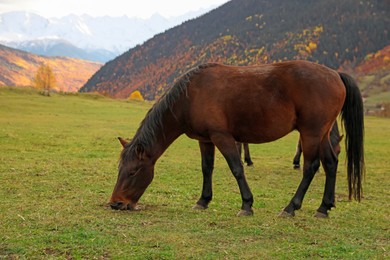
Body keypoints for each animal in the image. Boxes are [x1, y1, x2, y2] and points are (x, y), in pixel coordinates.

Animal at [110, 60, 366, 217]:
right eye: (120, 169)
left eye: (133, 171)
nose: (116, 203)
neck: (191, 95)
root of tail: (335, 74)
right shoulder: (206, 140)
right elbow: (207, 169)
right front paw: (203, 201)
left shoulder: (222, 137)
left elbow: (236, 168)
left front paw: (246, 204)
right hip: (321, 134)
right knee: (330, 163)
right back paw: (324, 207)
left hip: (310, 133)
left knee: (311, 167)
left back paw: (291, 207)